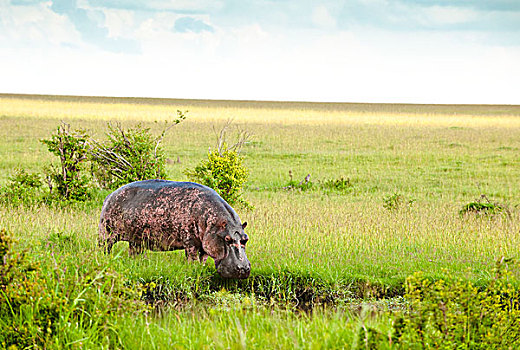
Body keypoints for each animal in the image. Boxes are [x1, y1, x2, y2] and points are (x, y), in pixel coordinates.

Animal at [99, 180, 252, 278]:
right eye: (227, 239)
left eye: (245, 239)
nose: (244, 268)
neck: (213, 221)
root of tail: (109, 196)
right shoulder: (190, 242)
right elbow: (192, 257)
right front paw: (192, 269)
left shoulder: (205, 243)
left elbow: (203, 259)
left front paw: (200, 269)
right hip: (107, 232)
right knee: (105, 246)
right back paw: (105, 259)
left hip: (136, 240)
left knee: (135, 252)